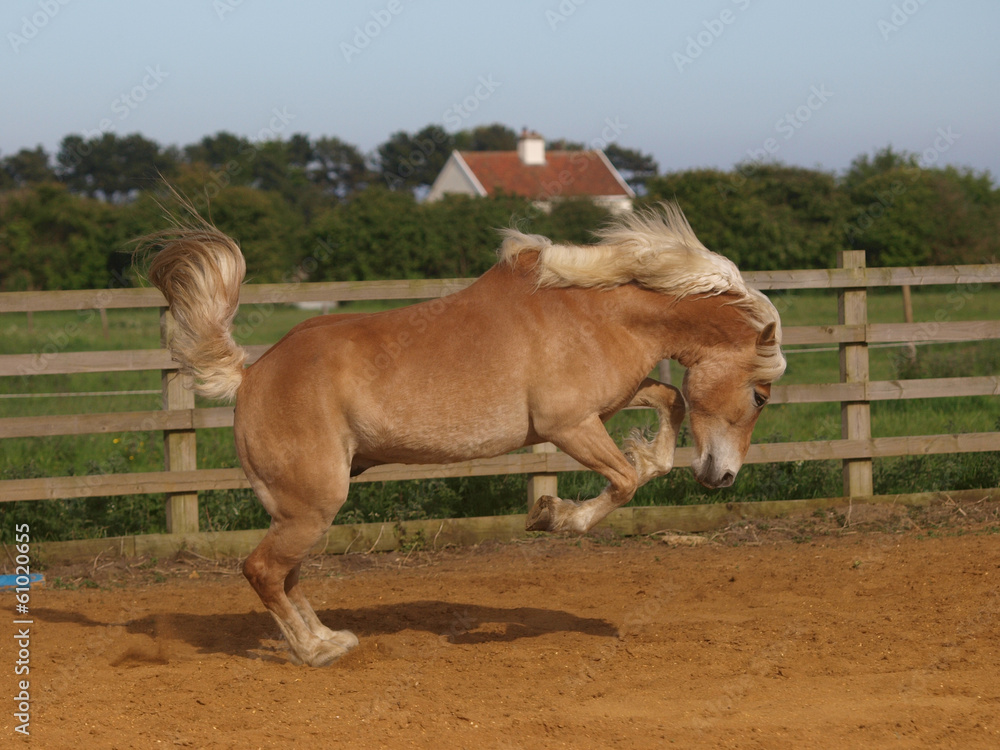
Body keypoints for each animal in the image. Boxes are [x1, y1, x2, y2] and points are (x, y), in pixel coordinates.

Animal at [142, 202, 786, 667]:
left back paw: (330, 639)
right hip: (312, 505)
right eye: (760, 396)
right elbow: (625, 482)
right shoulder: (567, 425)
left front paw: (631, 466)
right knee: (262, 571)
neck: (596, 314)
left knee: (286, 575)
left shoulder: (609, 404)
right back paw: (314, 653)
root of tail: (250, 376)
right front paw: (551, 515)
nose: (723, 477)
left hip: (301, 511)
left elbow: (669, 406)